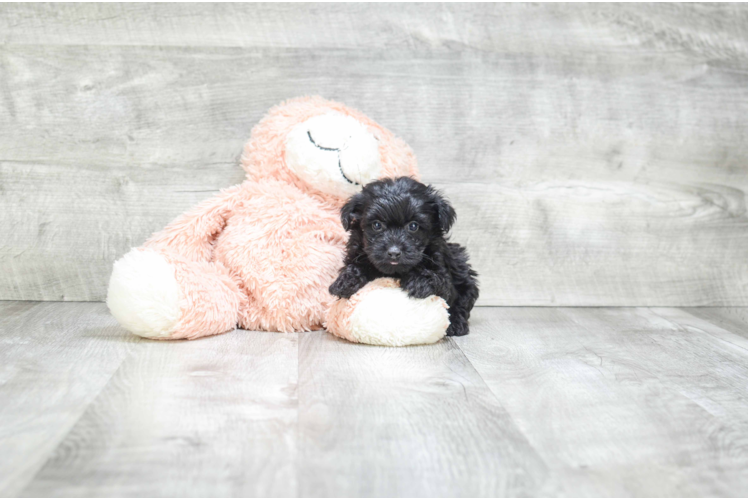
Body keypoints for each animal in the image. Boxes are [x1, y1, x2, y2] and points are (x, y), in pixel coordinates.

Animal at [328, 176, 480, 336]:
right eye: (377, 225)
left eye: (413, 226)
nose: (394, 252)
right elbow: (356, 265)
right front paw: (345, 281)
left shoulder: (444, 277)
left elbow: (436, 278)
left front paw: (419, 281)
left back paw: (456, 325)